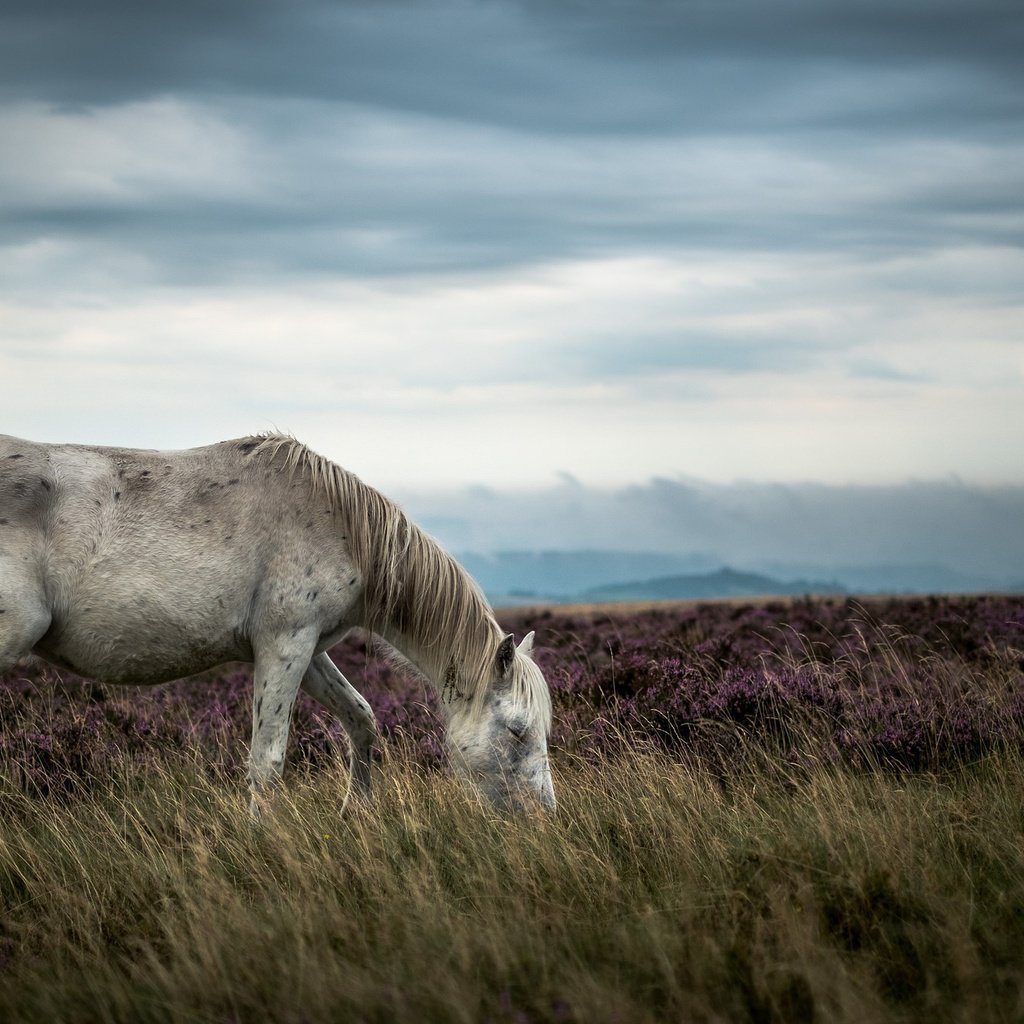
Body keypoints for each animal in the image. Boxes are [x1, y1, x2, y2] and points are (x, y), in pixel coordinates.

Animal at [0, 432, 552, 815]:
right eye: (517, 730)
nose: (544, 816)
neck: (342, 527)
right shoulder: (284, 644)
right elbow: (267, 763)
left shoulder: (308, 648)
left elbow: (362, 719)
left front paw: (358, 815)